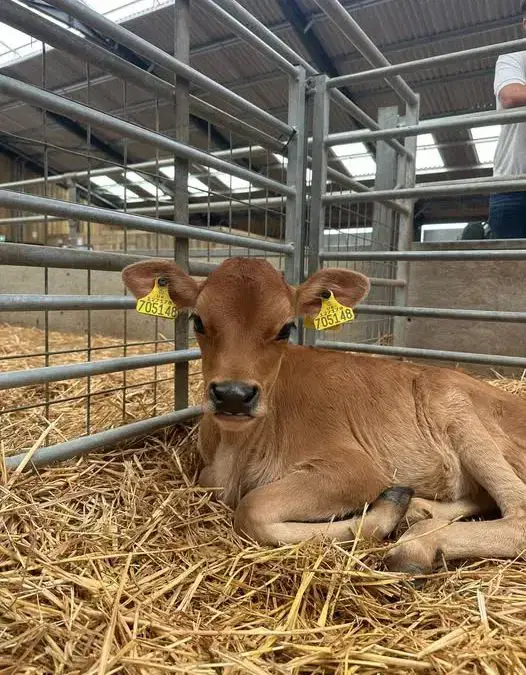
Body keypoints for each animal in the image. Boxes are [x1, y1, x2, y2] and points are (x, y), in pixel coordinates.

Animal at [122, 256, 526, 575]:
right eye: (198, 322)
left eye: (286, 328)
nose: (233, 395)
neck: (235, 451)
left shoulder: (354, 467)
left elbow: (253, 508)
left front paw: (382, 516)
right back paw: (418, 510)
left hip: (456, 408)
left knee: (517, 512)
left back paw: (417, 544)